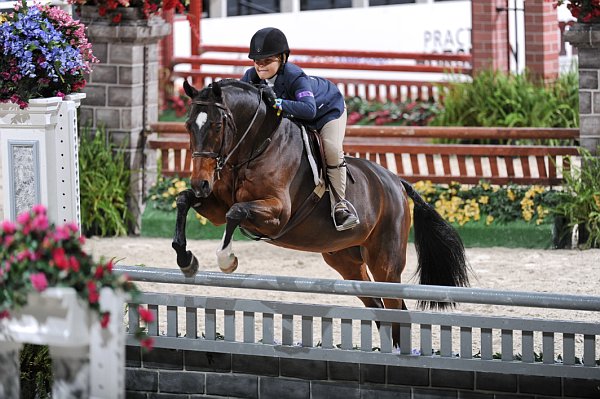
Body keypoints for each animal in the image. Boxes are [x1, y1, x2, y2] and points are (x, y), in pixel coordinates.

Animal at [171, 80, 472, 344]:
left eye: (216, 125)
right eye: (188, 125)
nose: (200, 183)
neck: (256, 147)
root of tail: (397, 182)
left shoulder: (277, 215)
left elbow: (235, 213)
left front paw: (227, 260)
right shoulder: (216, 207)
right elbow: (186, 201)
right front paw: (186, 259)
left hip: (385, 260)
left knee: (395, 306)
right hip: (346, 260)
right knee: (378, 305)